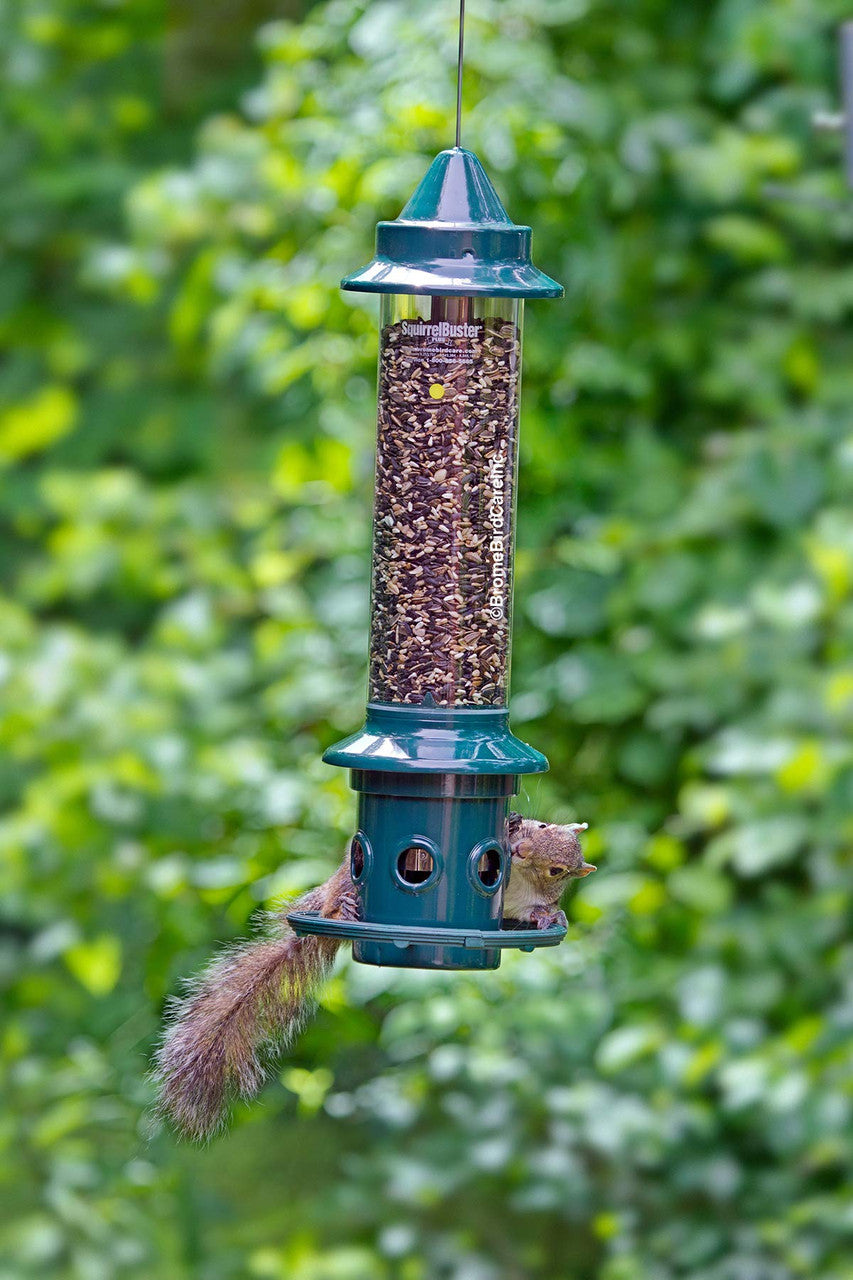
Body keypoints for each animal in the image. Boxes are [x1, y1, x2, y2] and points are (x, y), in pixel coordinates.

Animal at [154, 814, 594, 1141]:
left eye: (557, 870)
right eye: (542, 827)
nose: (519, 850)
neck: (517, 877)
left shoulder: (521, 907)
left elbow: (535, 913)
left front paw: (552, 917)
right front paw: (511, 821)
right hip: (344, 880)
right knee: (331, 906)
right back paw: (344, 910)